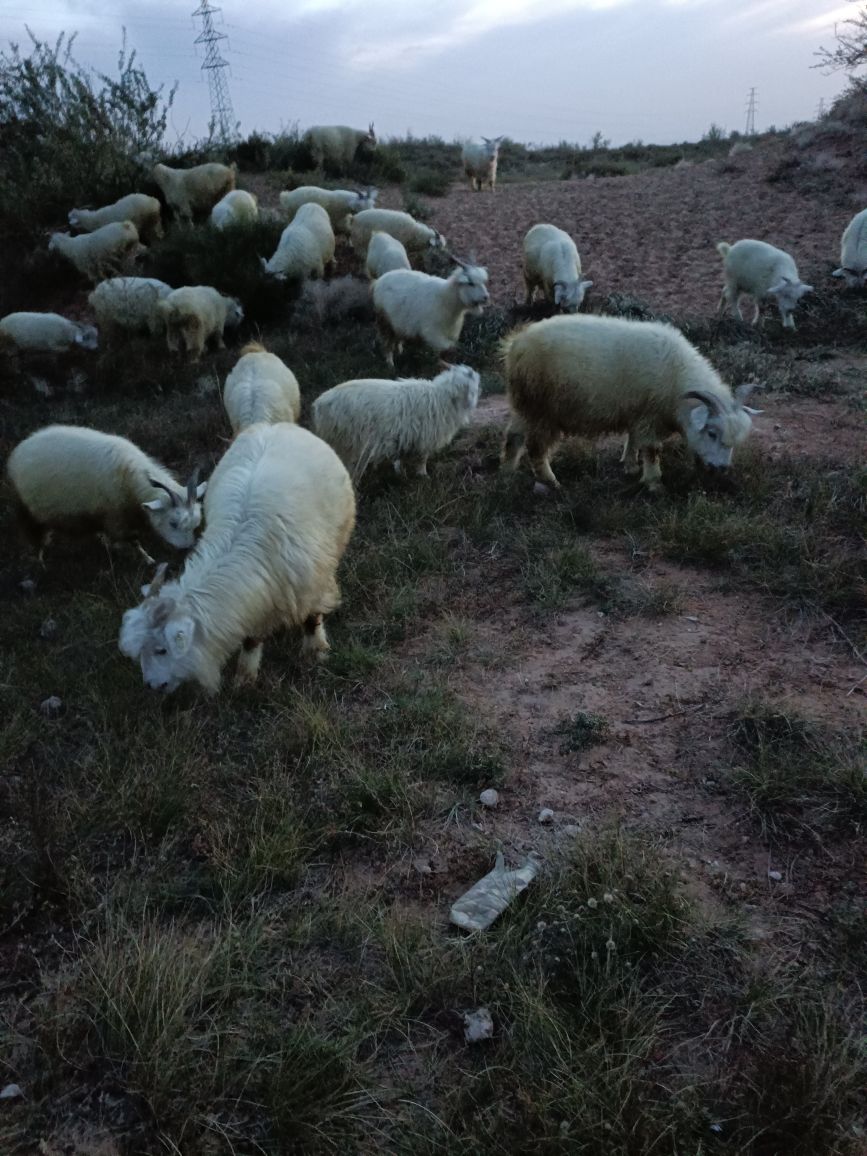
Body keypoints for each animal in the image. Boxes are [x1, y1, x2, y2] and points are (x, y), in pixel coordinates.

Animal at [8, 427, 206, 561]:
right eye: (173, 523)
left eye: (196, 524)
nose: (187, 550)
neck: (128, 476)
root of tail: (16, 454)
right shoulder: (116, 518)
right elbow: (133, 540)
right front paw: (148, 559)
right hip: (30, 512)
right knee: (36, 538)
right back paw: (41, 564)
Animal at [117, 425, 356, 693]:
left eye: (162, 650)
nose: (152, 685)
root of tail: (274, 427)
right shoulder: (256, 603)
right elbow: (251, 639)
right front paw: (245, 677)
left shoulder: (310, 585)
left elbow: (311, 618)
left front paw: (316, 651)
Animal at [312, 360, 483, 473]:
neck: (444, 396)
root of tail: (319, 403)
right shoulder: (425, 439)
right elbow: (422, 460)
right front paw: (423, 476)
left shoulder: (403, 437)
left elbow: (400, 459)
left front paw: (400, 472)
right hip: (346, 442)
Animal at [499, 314, 762, 490]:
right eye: (711, 433)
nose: (722, 469)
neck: (677, 379)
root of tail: (516, 346)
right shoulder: (650, 416)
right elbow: (652, 450)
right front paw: (654, 483)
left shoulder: (638, 413)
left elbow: (633, 440)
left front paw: (630, 466)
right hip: (542, 409)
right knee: (536, 448)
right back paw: (551, 482)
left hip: (525, 404)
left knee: (513, 436)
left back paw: (508, 473)